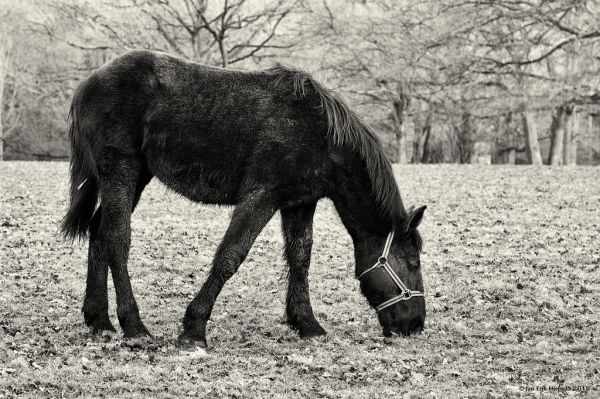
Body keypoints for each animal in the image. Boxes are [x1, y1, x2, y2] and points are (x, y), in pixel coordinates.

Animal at [62, 50, 426, 348]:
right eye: (413, 262)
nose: (415, 325)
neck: (319, 134)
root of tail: (87, 84)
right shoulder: (261, 197)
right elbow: (231, 255)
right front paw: (194, 328)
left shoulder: (299, 203)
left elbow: (300, 258)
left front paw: (307, 324)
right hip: (121, 169)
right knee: (116, 238)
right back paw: (134, 327)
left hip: (137, 175)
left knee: (99, 232)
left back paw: (100, 321)